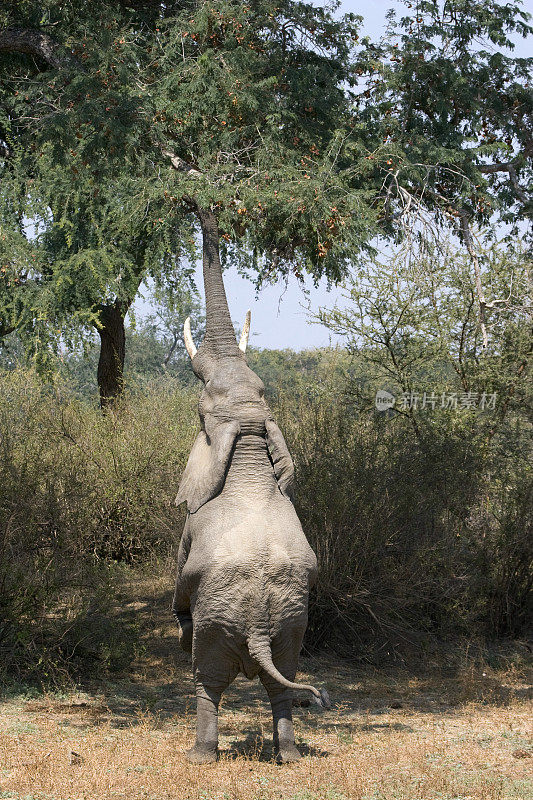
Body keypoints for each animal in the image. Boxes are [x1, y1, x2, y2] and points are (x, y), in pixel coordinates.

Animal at [172, 205, 328, 764]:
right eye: (262, 388)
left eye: (200, 410)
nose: (198, 202)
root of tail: (258, 630)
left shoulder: (193, 522)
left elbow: (181, 575)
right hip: (293, 626)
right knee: (282, 683)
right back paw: (290, 757)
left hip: (221, 624)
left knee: (207, 681)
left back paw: (200, 756)